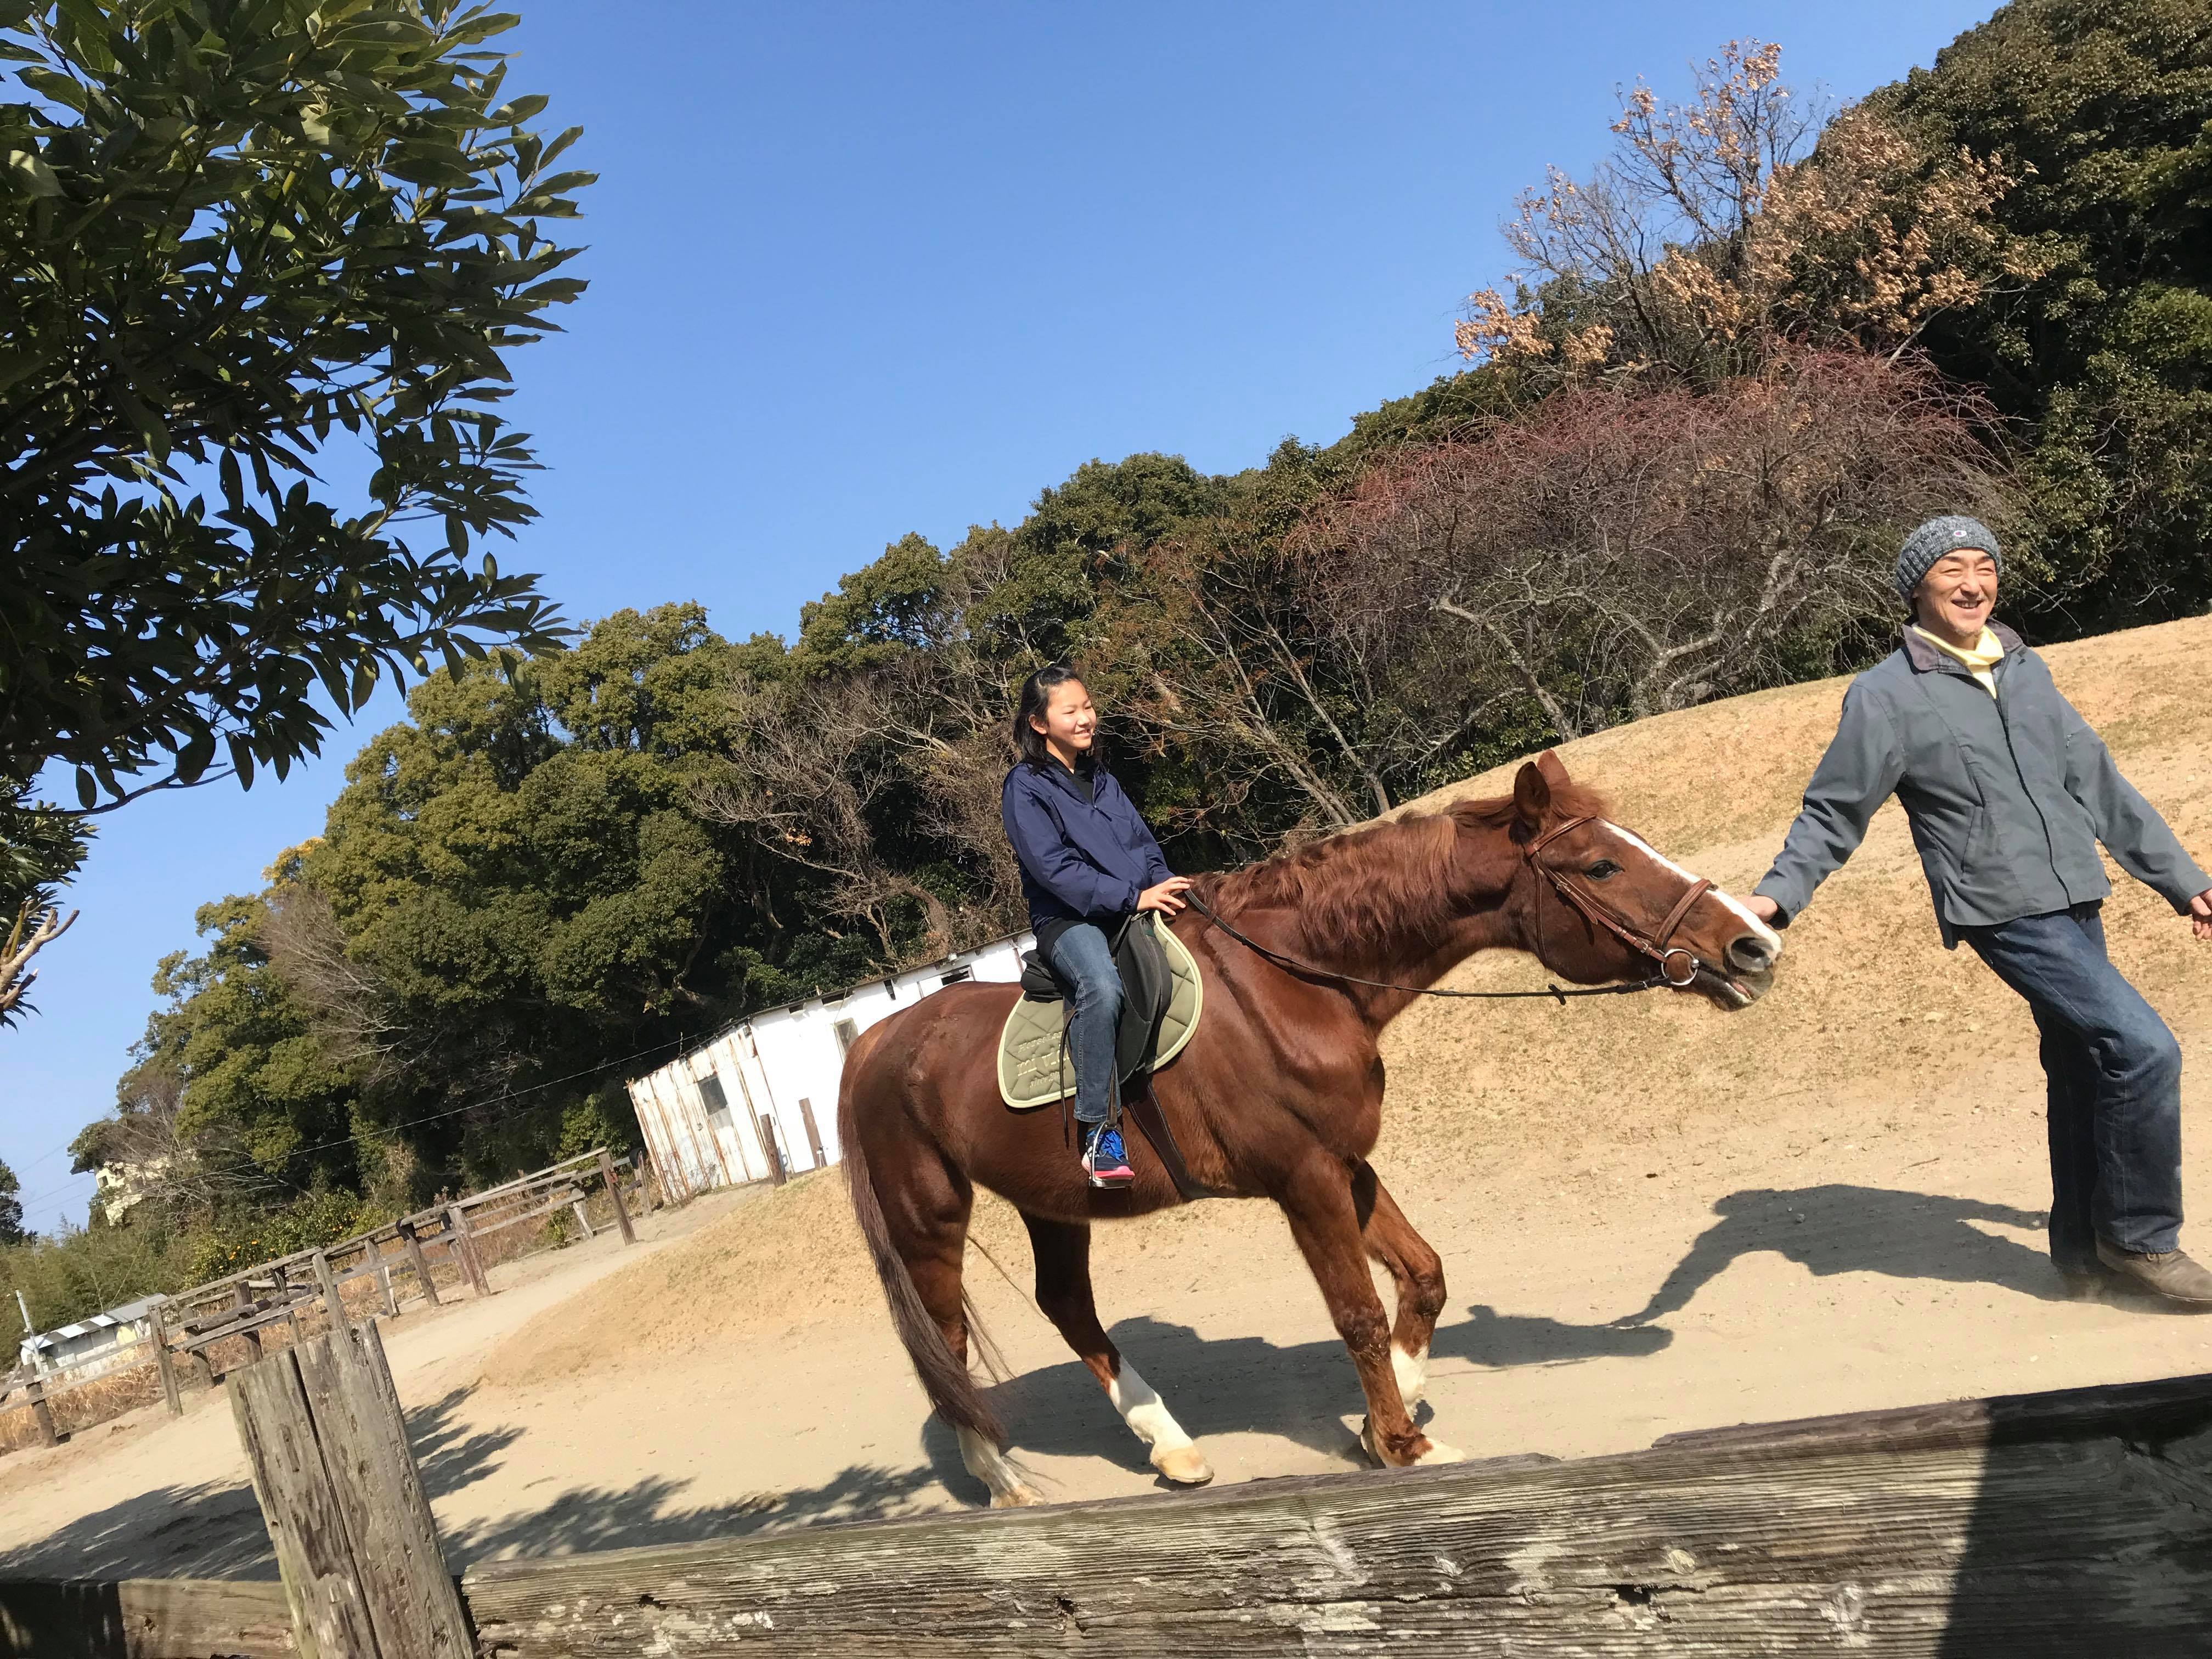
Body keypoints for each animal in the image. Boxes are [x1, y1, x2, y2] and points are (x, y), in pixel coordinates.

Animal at [837, 750, 1782, 1505]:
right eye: (1602, 865)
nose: (1754, 945)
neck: (1297, 985)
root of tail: (873, 1044)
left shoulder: (1346, 1164)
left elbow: (1425, 1274)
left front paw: (1389, 1411)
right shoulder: (1305, 1179)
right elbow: (1357, 1312)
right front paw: (1404, 1444)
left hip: (1054, 1198)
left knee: (1066, 1304)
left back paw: (1171, 1448)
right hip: (930, 1217)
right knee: (946, 1340)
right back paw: (1002, 1480)